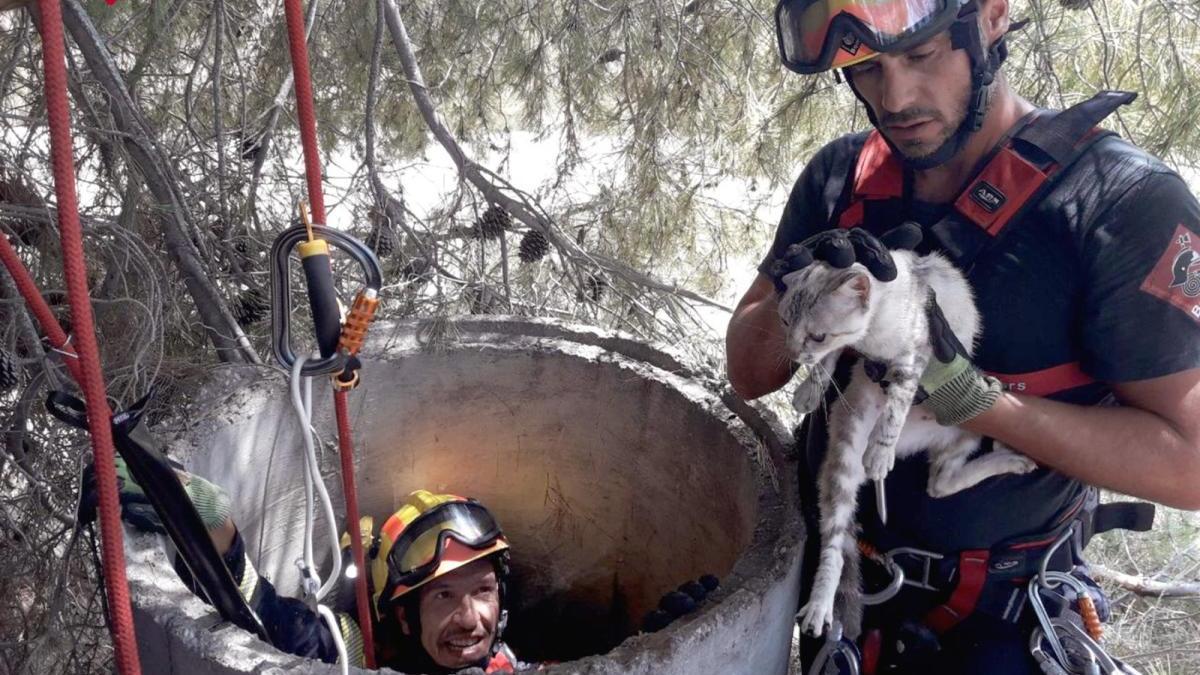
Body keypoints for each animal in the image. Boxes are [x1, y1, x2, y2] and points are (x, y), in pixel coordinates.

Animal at [782, 249, 1036, 638]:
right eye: (784, 323)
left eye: (817, 334)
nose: (793, 353)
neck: (871, 338)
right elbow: (828, 363)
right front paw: (810, 390)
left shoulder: (915, 357)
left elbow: (896, 407)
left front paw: (881, 450)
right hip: (845, 450)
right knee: (838, 543)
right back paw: (821, 603)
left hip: (966, 426)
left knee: (942, 481)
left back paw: (1009, 456)